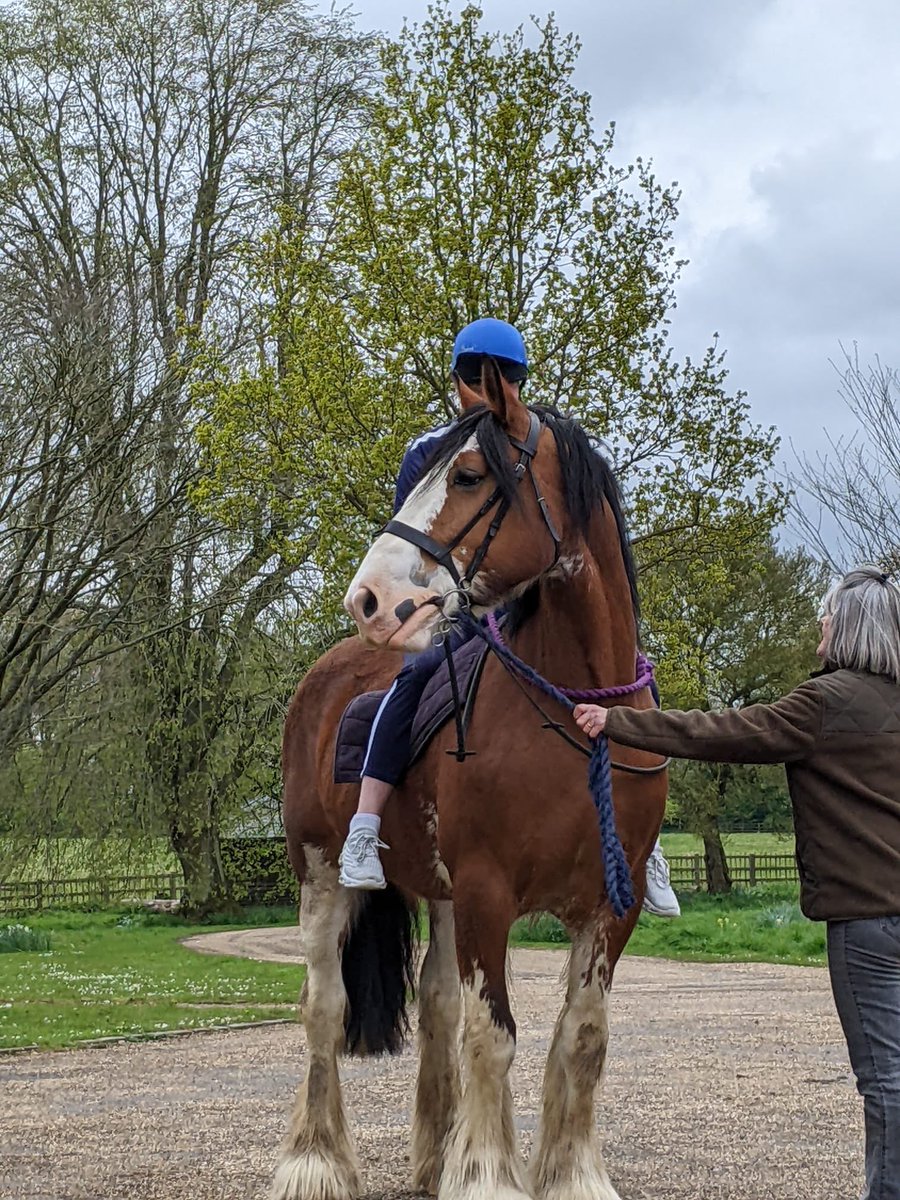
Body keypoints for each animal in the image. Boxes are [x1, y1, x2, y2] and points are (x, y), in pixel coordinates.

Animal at [274, 363, 668, 1200]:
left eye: (468, 475)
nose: (369, 600)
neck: (573, 712)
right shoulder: (489, 892)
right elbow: (495, 1036)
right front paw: (486, 1174)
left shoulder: (608, 911)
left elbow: (581, 1038)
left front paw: (568, 1175)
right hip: (324, 876)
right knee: (324, 1008)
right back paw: (314, 1160)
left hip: (445, 897)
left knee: (437, 1005)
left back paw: (433, 1156)